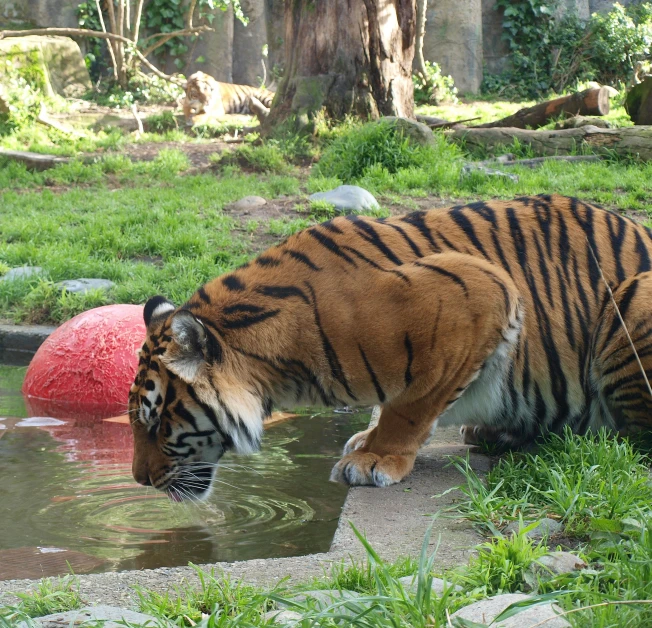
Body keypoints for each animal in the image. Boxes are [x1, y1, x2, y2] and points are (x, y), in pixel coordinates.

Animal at [127, 196, 652, 500]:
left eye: (156, 423)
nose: (138, 480)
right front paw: (368, 439)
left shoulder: (480, 291)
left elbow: (412, 404)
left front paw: (375, 459)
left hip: (630, 302)